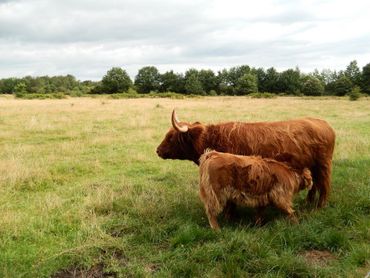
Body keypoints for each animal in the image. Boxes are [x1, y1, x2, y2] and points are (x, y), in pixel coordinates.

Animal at [156, 109, 336, 207]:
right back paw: (309, 202)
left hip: (323, 165)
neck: (213, 140)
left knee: (324, 185)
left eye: (171, 137)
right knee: (315, 184)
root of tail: (324, 124)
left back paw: (320, 206)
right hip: (313, 166)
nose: (157, 150)